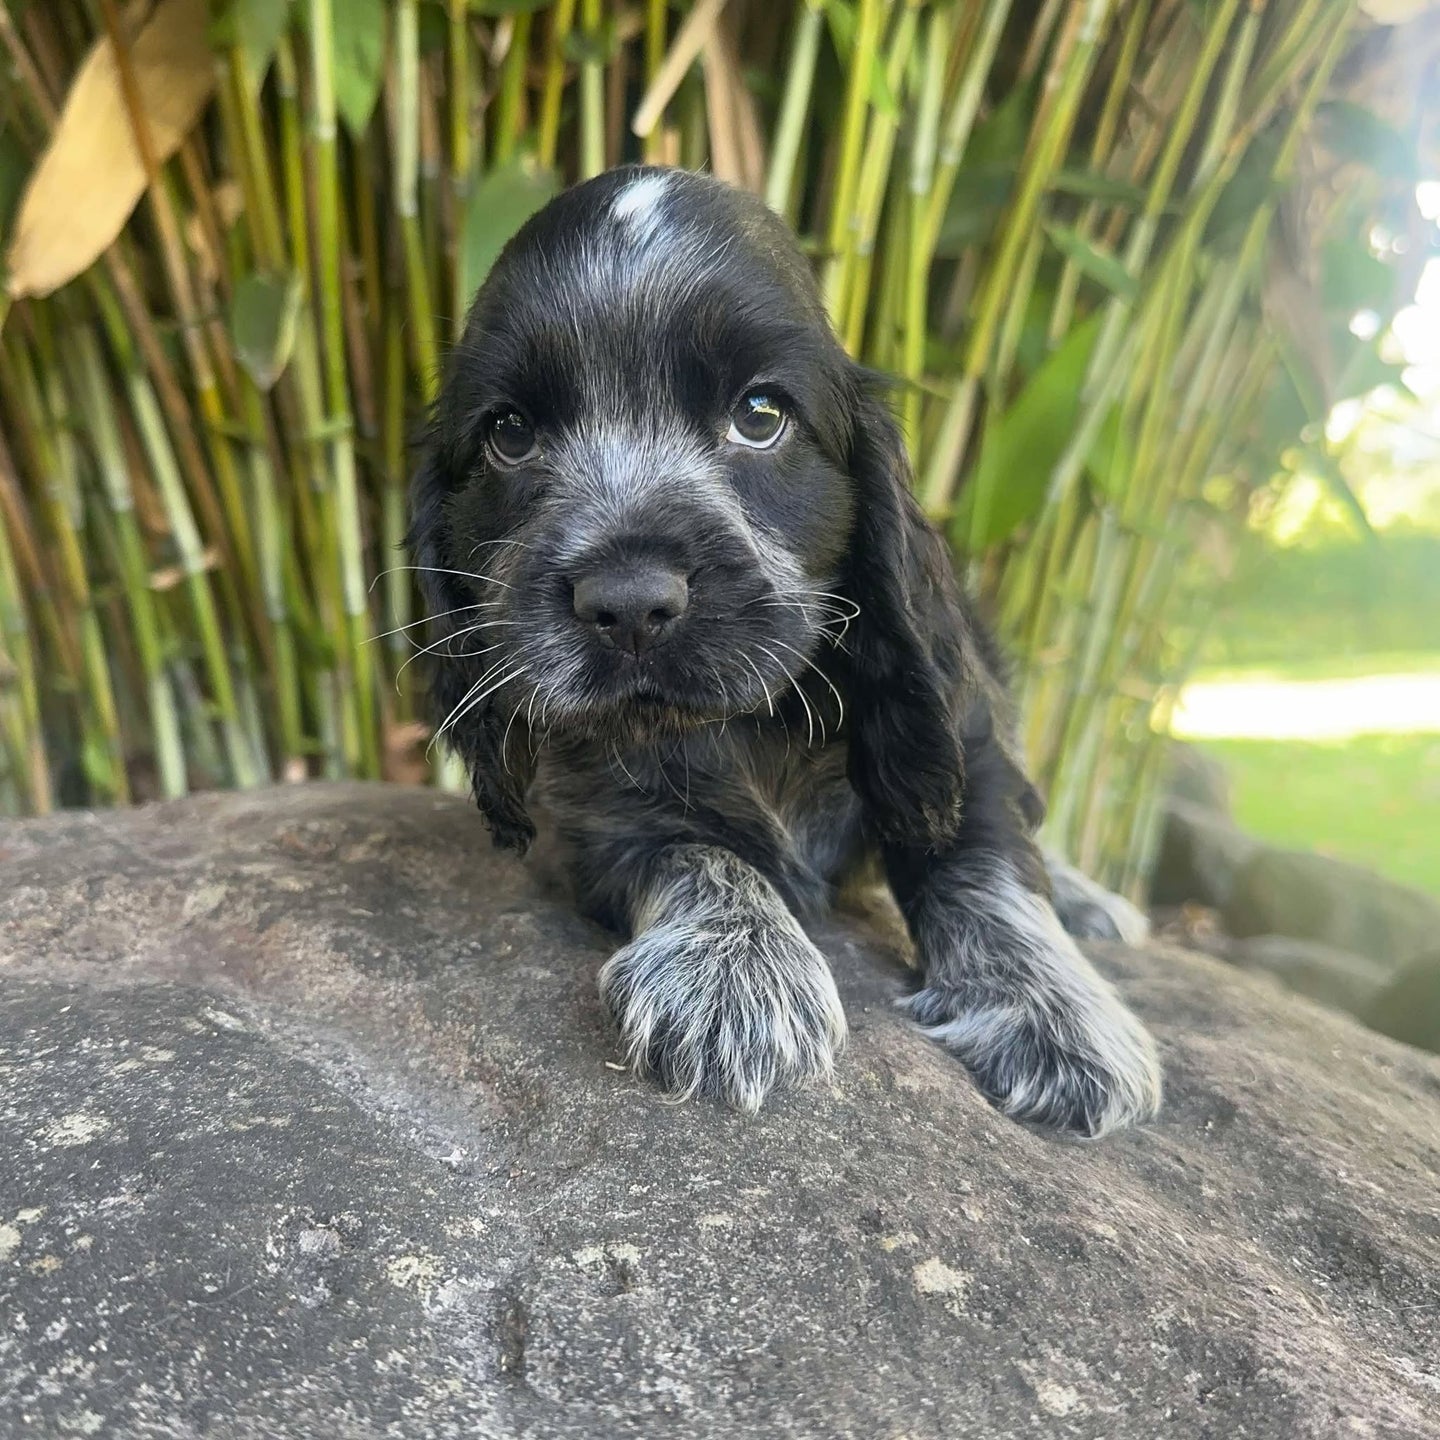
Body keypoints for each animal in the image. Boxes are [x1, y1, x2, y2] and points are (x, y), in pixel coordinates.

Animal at [411, 165, 1163, 1134]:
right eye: (509, 435)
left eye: (759, 415)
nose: (628, 602)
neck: (747, 722)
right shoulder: (602, 821)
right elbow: (696, 851)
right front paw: (734, 977)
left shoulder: (957, 737)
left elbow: (990, 857)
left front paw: (1056, 1014)